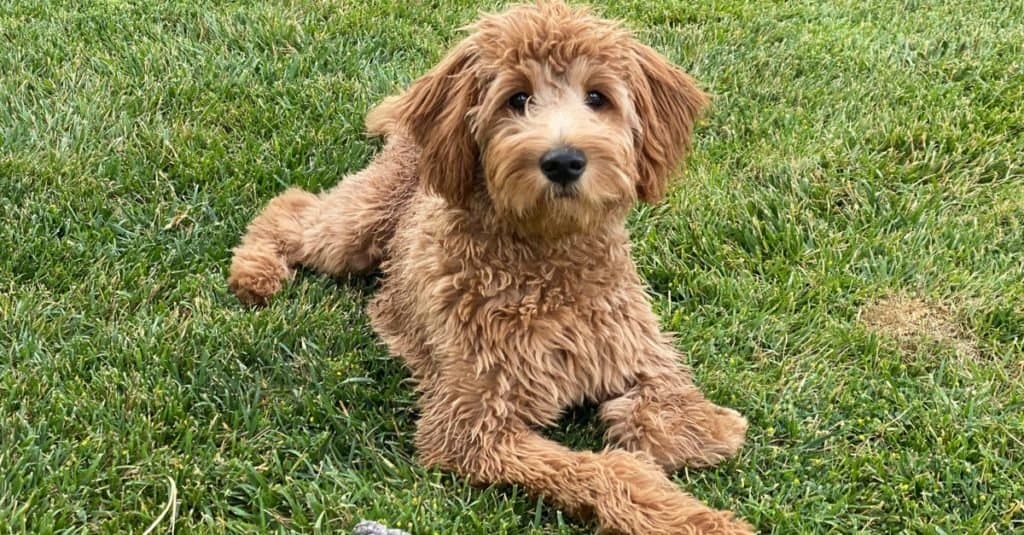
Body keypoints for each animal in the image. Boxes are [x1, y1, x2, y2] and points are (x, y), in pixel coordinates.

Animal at [230, 2, 753, 528]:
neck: (548, 264)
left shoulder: (638, 350)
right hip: (358, 227)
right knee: (292, 209)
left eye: (597, 97)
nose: (563, 161)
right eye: (516, 98)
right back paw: (254, 273)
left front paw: (707, 430)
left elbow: (670, 411)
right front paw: (694, 518)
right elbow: (603, 468)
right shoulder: (471, 428)